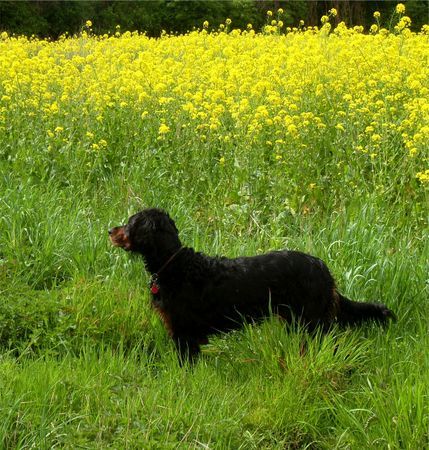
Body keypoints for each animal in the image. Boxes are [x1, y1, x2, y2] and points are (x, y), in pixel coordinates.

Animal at [110, 210, 394, 362]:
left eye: (130, 222)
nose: (110, 230)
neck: (175, 265)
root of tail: (323, 269)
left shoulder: (183, 333)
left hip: (313, 323)